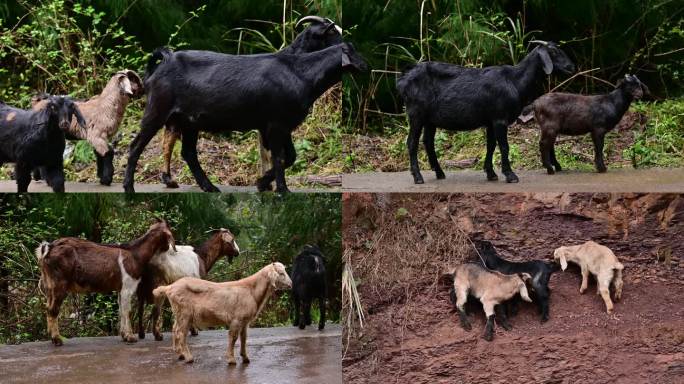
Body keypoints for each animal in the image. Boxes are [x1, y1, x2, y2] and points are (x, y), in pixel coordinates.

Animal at [35, 218, 175, 346]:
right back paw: (57, 340)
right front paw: (130, 337)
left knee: (48, 307)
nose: (170, 247)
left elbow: (121, 311)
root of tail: (48, 248)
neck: (135, 253)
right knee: (53, 310)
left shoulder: (121, 289)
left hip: (49, 285)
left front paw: (124, 335)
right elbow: (127, 311)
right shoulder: (127, 287)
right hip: (59, 284)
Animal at [123, 18, 368, 192]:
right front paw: (281, 190)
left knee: (188, 152)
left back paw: (208, 187)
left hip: (189, 120)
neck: (298, 71)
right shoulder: (276, 124)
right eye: (333, 34)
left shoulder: (280, 124)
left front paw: (263, 183)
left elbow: (289, 156)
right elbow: (280, 156)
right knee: (136, 146)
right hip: (157, 109)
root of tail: (164, 62)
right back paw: (129, 188)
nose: (366, 66)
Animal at [154, 260, 292, 364]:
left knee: (174, 329)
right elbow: (233, 337)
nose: (291, 284)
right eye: (281, 273)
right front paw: (231, 359)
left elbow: (244, 338)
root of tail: (169, 287)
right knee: (181, 333)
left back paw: (180, 354)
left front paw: (245, 357)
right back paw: (188, 358)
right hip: (185, 313)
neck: (251, 290)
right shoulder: (236, 319)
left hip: (179, 313)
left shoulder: (245, 321)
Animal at [398, 41, 576, 185]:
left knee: (428, 142)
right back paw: (418, 177)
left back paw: (439, 173)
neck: (514, 80)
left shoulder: (491, 121)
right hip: (416, 114)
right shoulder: (500, 118)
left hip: (430, 119)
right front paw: (510, 175)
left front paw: (491, 173)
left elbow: (491, 145)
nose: (571, 67)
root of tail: (402, 81)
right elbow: (504, 146)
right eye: (554, 52)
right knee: (412, 142)